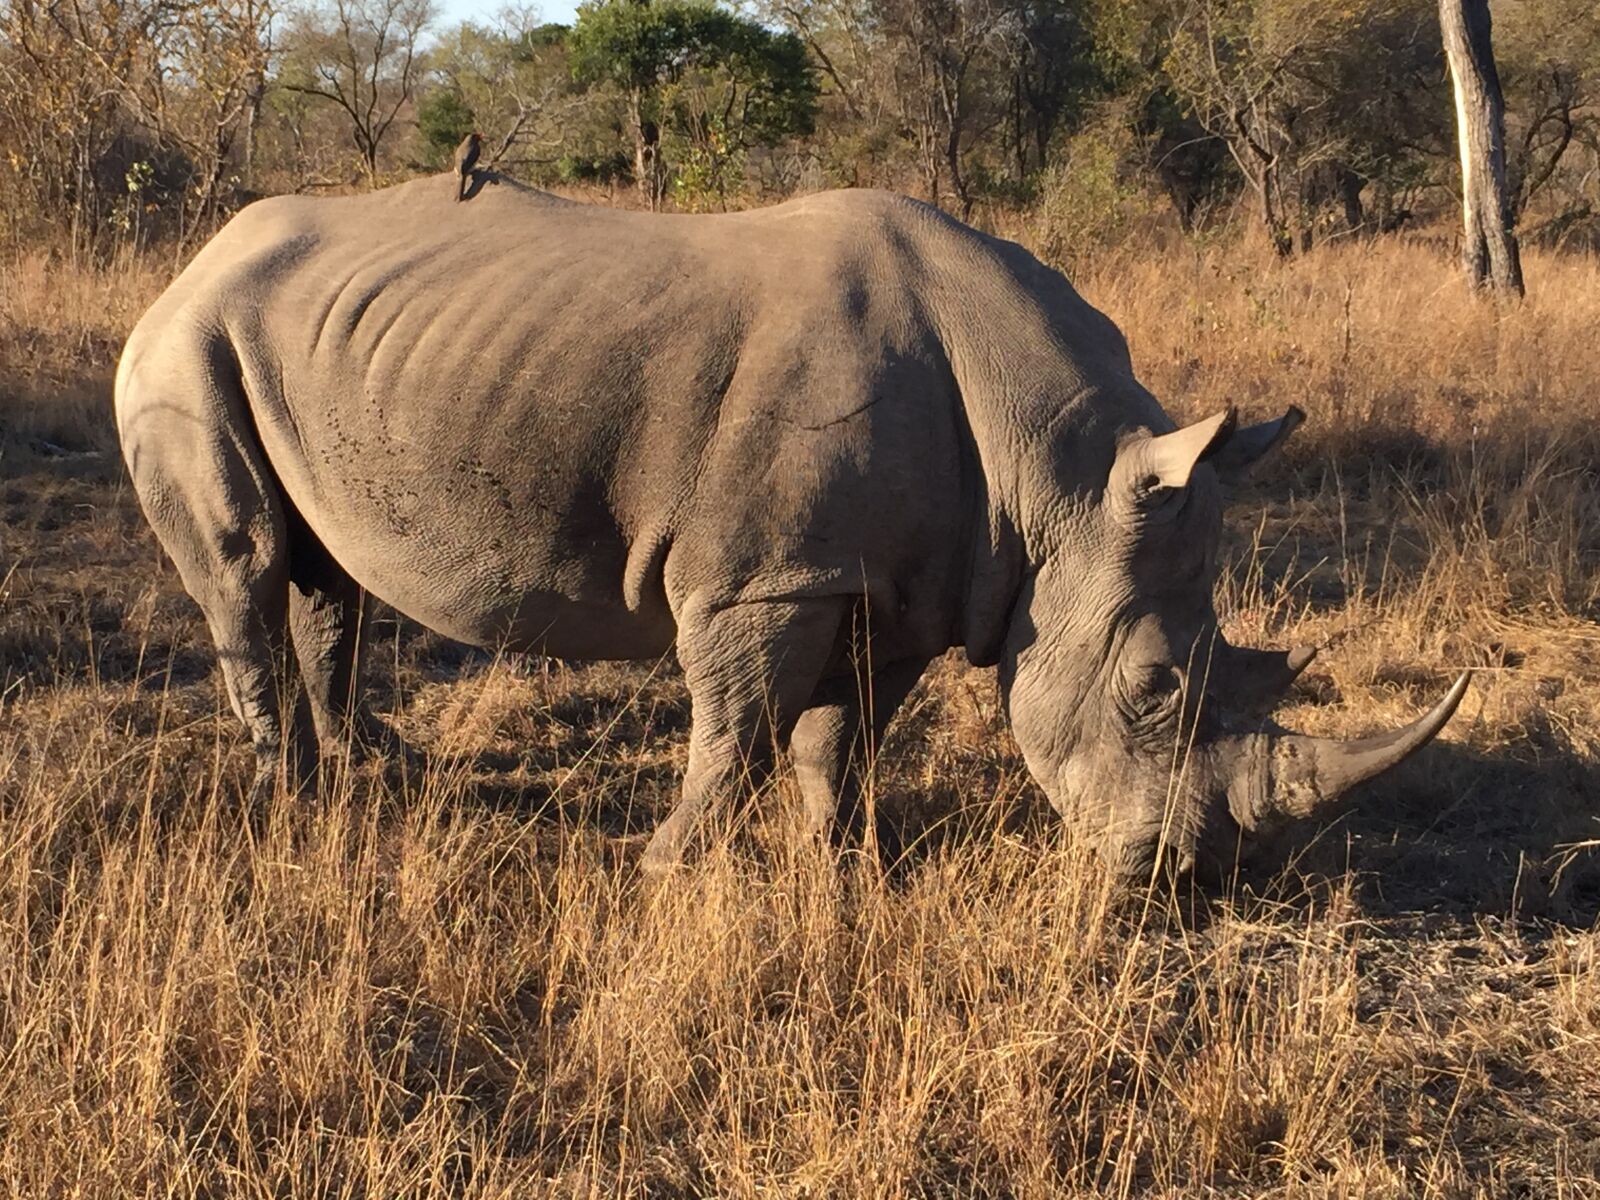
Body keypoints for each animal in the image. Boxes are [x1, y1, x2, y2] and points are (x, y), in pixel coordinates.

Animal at [114, 174, 1468, 879]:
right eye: (1148, 689)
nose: (1175, 877)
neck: (1059, 478)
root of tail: (188, 261)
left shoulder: (913, 575)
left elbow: (841, 730)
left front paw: (851, 861)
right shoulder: (764, 577)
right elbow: (739, 728)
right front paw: (670, 868)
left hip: (288, 343)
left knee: (323, 574)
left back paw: (374, 770)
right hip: (186, 344)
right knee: (245, 567)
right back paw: (292, 802)